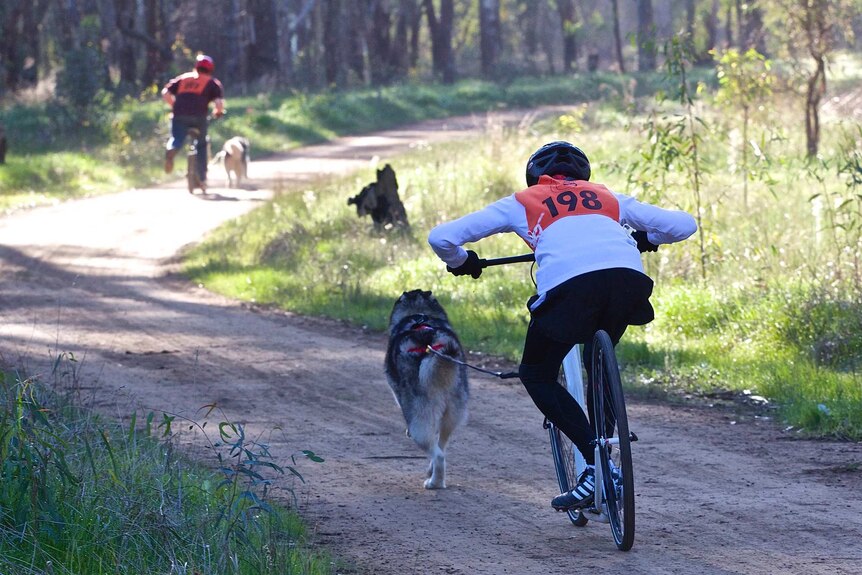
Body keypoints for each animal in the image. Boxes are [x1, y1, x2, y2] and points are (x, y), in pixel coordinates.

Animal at [384, 290, 470, 488]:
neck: (419, 313)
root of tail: (430, 343)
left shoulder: (396, 390)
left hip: (420, 419)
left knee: (438, 454)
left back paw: (434, 482)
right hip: (454, 412)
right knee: (442, 445)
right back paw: (433, 473)